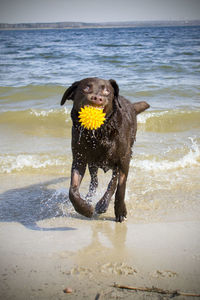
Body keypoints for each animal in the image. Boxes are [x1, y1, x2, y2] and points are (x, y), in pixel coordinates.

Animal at [61, 78, 150, 221]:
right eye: (86, 88)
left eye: (107, 91)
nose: (97, 98)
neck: (98, 134)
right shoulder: (79, 159)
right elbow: (72, 190)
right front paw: (85, 209)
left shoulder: (124, 159)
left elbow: (120, 187)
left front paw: (120, 211)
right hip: (93, 163)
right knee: (94, 181)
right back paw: (90, 199)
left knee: (113, 181)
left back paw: (103, 203)